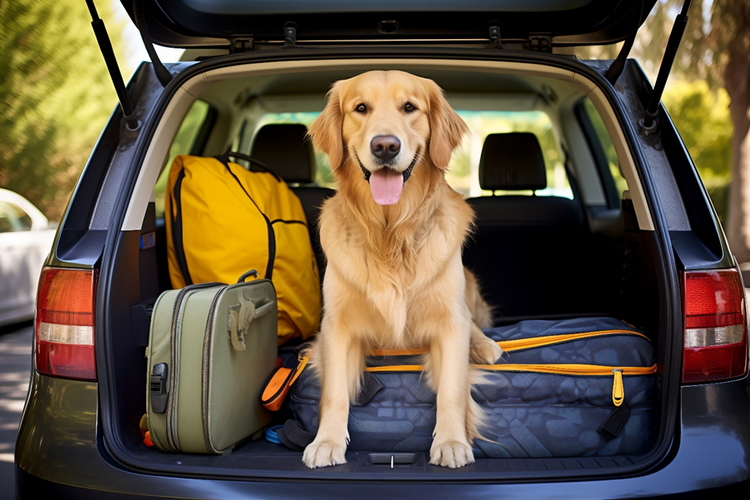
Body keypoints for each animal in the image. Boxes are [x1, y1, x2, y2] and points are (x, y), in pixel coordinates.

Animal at [306, 70, 506, 468]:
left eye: (410, 107)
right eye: (360, 108)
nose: (385, 146)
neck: (390, 233)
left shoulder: (449, 323)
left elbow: (452, 390)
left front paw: (451, 442)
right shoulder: (337, 326)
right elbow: (334, 392)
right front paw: (326, 442)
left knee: (472, 323)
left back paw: (483, 345)